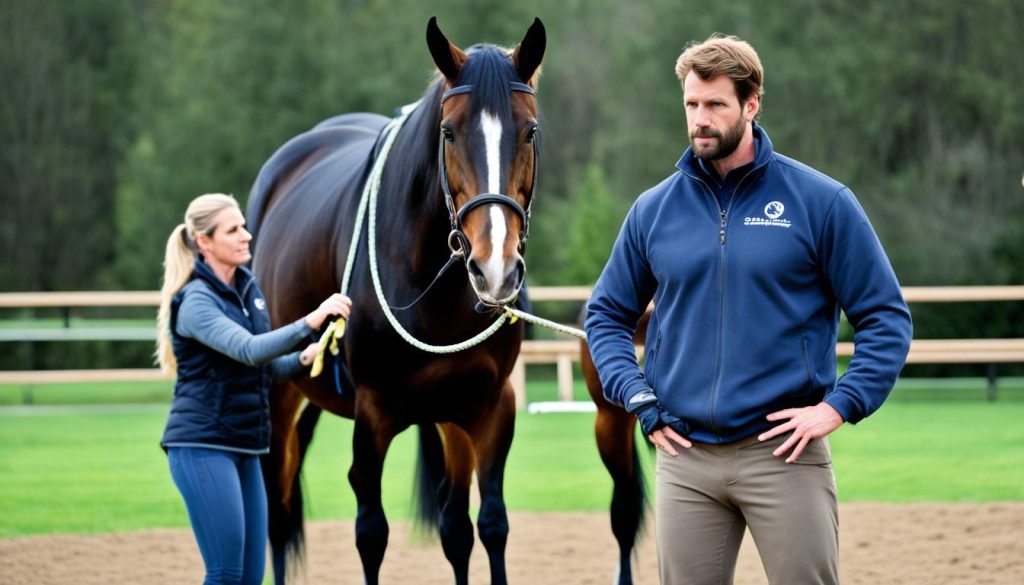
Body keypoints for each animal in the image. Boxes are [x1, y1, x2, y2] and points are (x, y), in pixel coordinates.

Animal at [245, 17, 545, 585]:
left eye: (530, 131)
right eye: (448, 133)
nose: (494, 269)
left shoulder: (486, 409)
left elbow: (482, 526)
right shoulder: (373, 416)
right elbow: (371, 534)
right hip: (279, 391)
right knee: (275, 502)